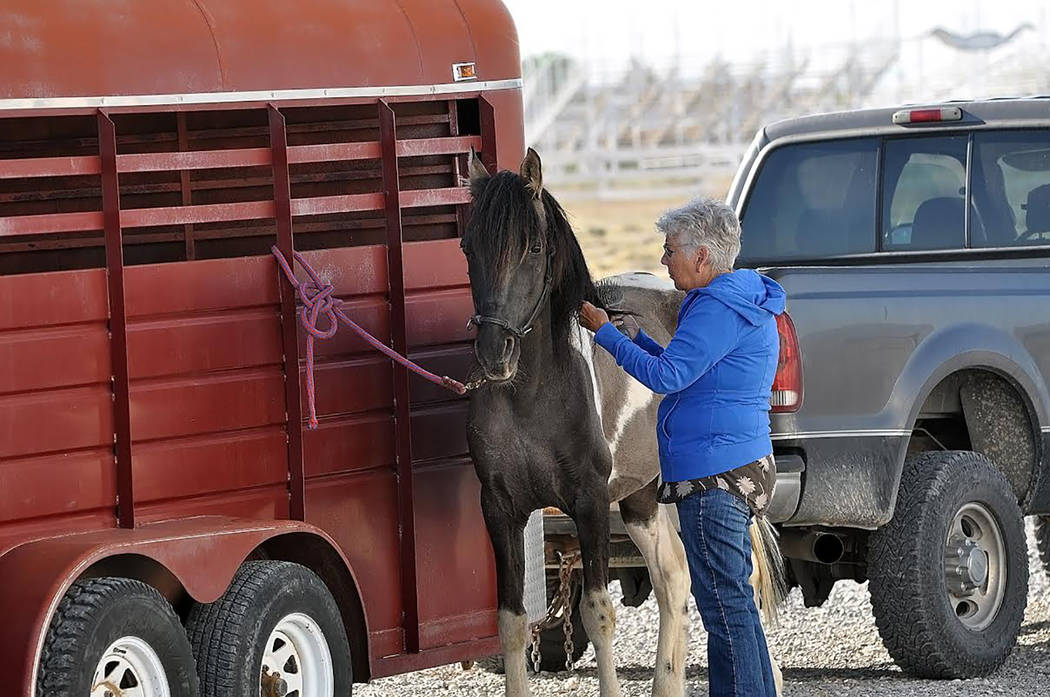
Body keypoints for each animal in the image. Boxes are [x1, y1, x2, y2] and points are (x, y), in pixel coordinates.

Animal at [464, 148, 785, 697]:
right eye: (468, 246)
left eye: (532, 246)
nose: (494, 354)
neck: (531, 398)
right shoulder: (500, 509)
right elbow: (511, 622)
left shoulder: (589, 502)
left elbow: (598, 615)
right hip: (643, 495)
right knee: (675, 577)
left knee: (729, 585)